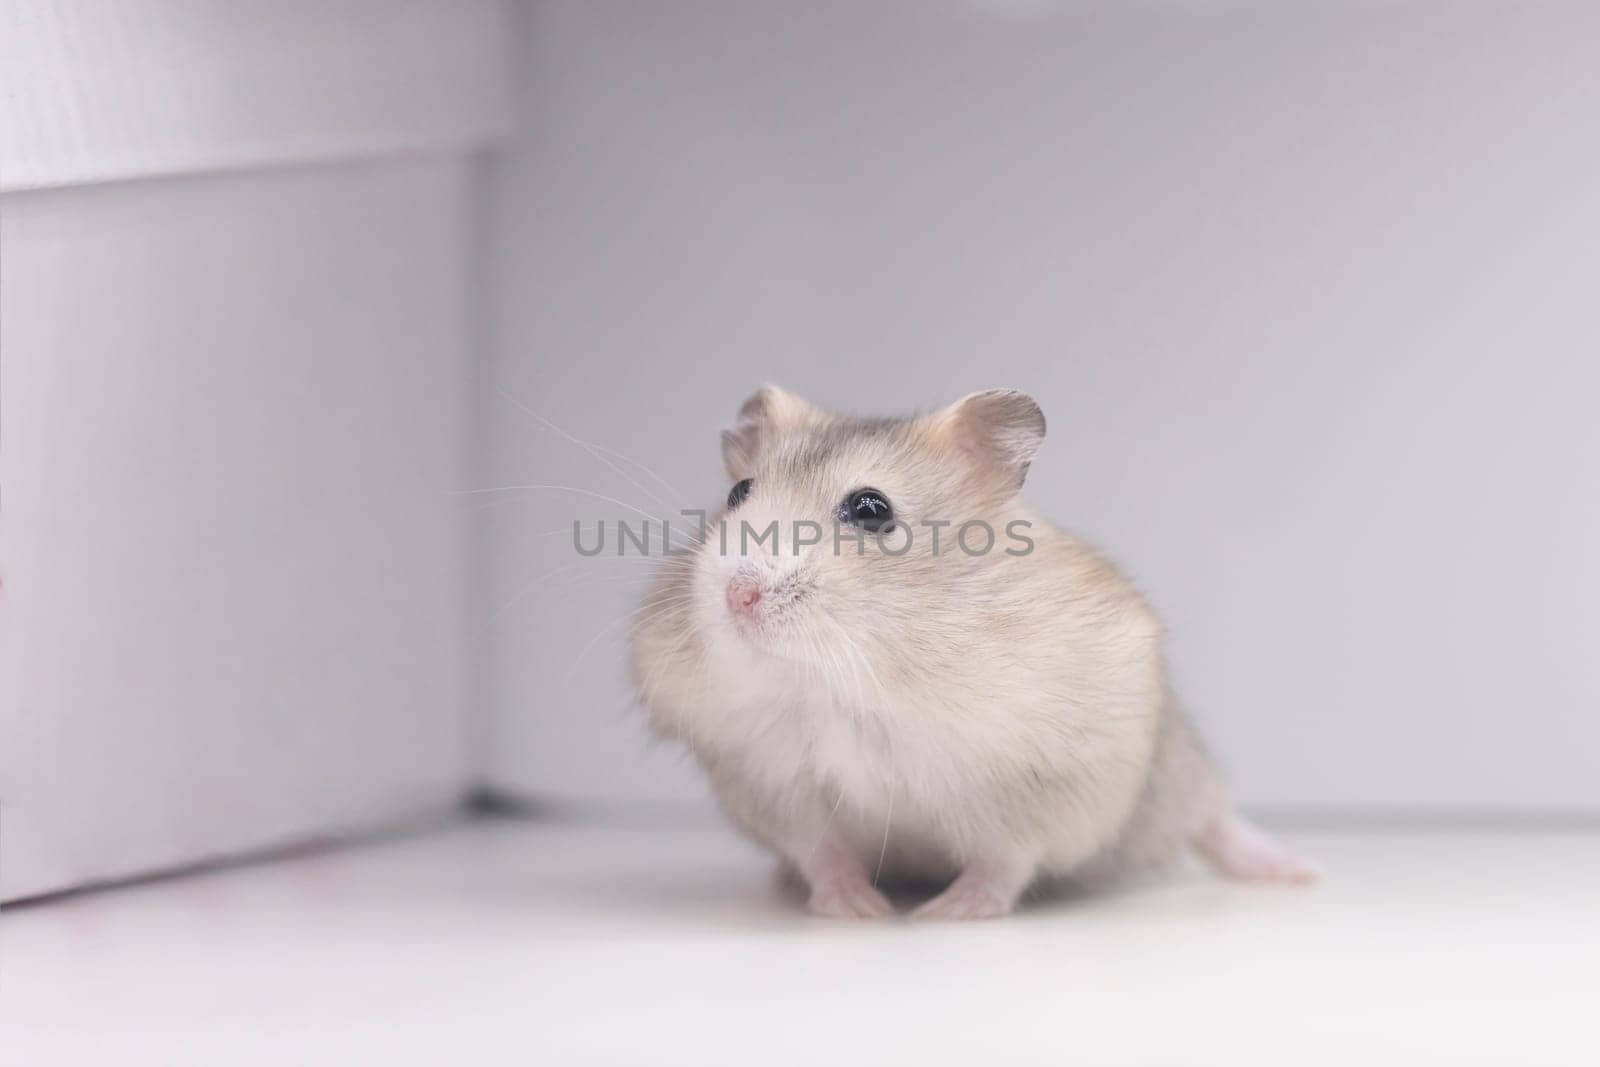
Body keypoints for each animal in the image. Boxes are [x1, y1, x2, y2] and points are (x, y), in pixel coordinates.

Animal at [624, 385, 1312, 921]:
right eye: (739, 492)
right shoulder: (776, 787)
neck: (844, 684)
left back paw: (1297, 870)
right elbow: (824, 855)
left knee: (1215, 822)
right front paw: (858, 909)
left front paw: (944, 914)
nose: (738, 595)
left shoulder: (1035, 787)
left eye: (871, 509)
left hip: (1178, 772)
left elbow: (1002, 863)